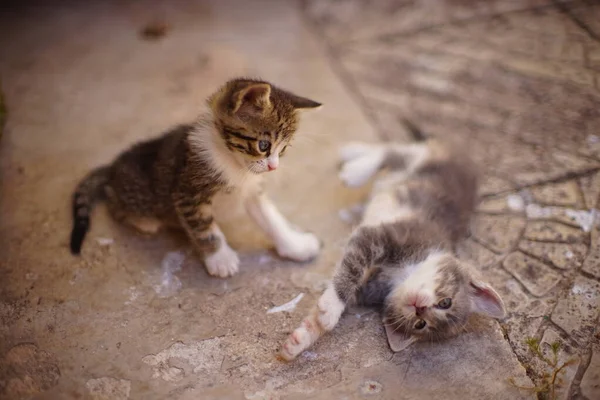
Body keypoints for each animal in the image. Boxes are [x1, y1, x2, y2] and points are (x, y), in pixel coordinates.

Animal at [69, 78, 324, 278]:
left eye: (283, 149)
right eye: (264, 145)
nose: (273, 167)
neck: (234, 164)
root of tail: (112, 166)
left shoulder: (252, 190)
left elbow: (271, 218)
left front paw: (295, 245)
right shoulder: (187, 192)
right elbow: (205, 228)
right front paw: (220, 259)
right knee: (115, 202)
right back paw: (144, 221)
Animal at [278, 124, 504, 360]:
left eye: (420, 324)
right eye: (445, 302)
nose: (420, 308)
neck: (405, 273)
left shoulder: (371, 289)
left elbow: (344, 293)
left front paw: (300, 340)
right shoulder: (387, 236)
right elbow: (351, 270)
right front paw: (331, 306)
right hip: (432, 161)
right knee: (396, 150)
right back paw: (355, 165)